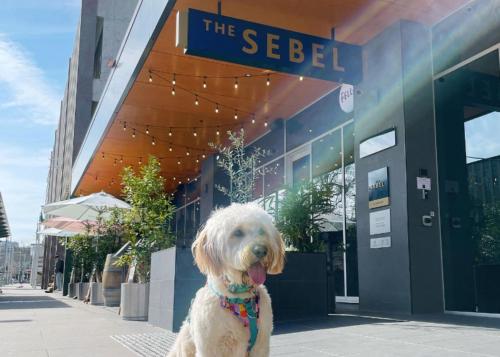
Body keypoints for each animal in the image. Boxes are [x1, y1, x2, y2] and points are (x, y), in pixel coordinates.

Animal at [168, 203, 286, 356]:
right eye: (238, 232)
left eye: (262, 231)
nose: (261, 250)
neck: (239, 298)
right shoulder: (209, 347)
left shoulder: (261, 344)